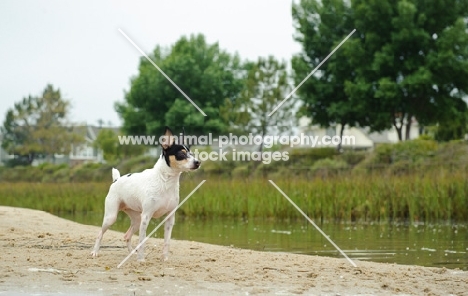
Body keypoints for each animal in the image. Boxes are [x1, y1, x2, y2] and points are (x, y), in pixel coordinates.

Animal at [90, 127, 200, 262]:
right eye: (182, 154)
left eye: (192, 154)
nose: (198, 162)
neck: (165, 181)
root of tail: (116, 179)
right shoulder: (146, 217)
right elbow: (142, 241)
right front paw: (141, 260)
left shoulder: (169, 218)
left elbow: (167, 242)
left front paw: (165, 259)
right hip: (111, 217)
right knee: (100, 234)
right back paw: (95, 251)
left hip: (137, 219)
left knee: (127, 236)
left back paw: (131, 253)